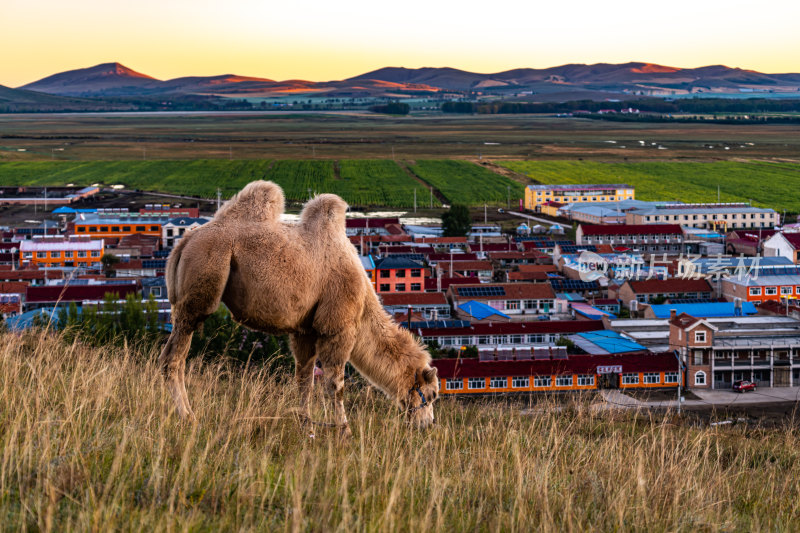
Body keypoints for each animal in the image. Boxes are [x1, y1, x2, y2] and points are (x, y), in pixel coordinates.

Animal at [156, 181, 438, 430]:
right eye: (433, 393)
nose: (428, 424)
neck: (364, 301)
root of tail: (184, 241)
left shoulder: (305, 330)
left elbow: (304, 379)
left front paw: (306, 424)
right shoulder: (338, 327)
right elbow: (335, 384)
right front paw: (343, 429)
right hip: (206, 272)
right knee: (174, 356)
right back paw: (188, 417)